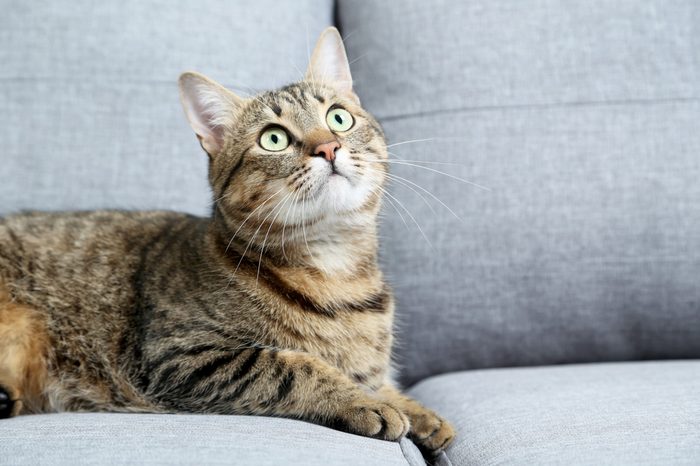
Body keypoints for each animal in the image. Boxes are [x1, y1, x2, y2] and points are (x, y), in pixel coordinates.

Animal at [0, 27, 454, 456]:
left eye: (339, 118)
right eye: (274, 138)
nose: (329, 146)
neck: (335, 269)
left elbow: (378, 380)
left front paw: (417, 410)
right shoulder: (180, 356)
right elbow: (295, 366)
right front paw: (368, 403)